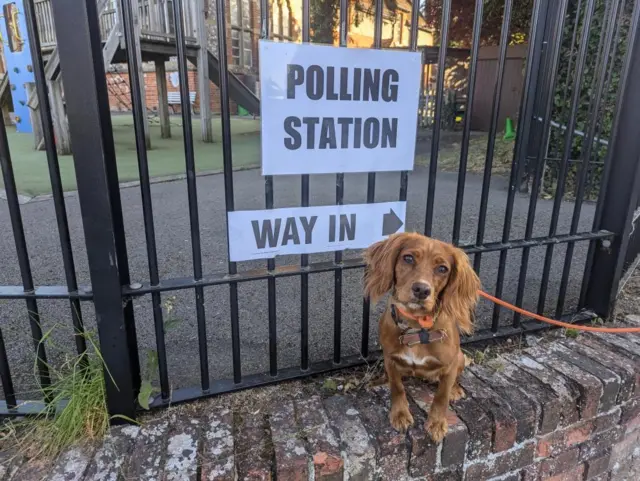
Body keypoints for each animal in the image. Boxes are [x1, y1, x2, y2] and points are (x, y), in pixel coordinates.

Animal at [364, 231, 480, 440]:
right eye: (408, 258)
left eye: (442, 269)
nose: (422, 290)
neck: (416, 328)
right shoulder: (390, 359)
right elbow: (397, 388)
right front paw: (400, 415)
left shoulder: (450, 365)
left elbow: (441, 396)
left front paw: (437, 423)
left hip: (460, 357)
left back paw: (456, 389)